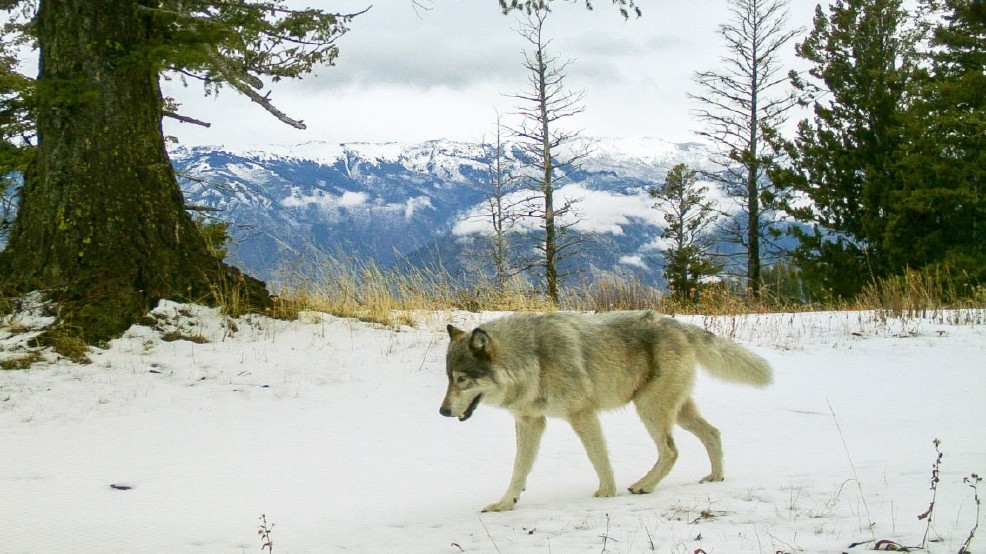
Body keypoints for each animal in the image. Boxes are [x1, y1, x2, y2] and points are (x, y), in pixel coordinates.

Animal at [439, 310, 772, 512]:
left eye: (462, 380)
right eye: (448, 379)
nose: (442, 411)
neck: (533, 359)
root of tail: (677, 324)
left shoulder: (582, 414)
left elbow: (598, 457)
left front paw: (606, 493)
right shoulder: (530, 421)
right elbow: (519, 468)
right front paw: (505, 504)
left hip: (650, 409)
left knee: (671, 451)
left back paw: (644, 486)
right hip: (675, 411)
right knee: (713, 433)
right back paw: (715, 477)